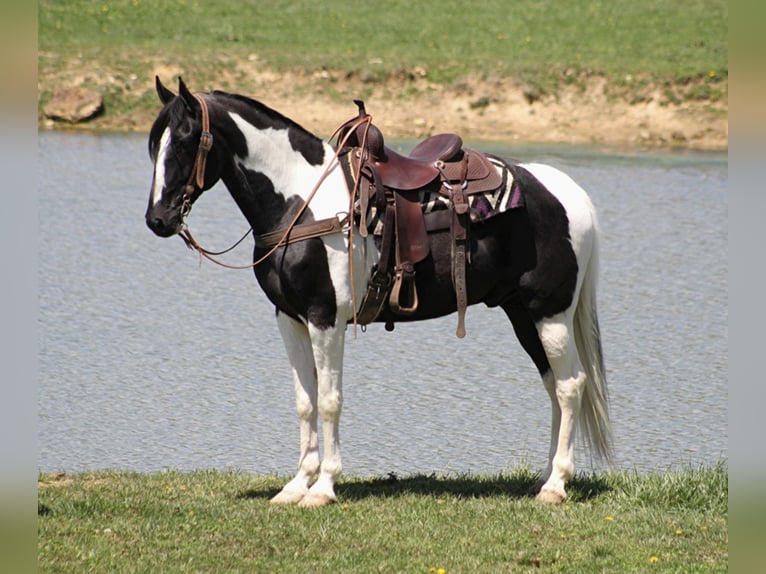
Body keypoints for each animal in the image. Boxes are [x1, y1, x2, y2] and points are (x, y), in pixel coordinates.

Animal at [144, 76, 612, 508]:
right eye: (154, 146)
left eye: (184, 142)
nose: (157, 220)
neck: (301, 203)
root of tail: (571, 194)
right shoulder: (290, 319)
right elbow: (304, 401)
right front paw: (295, 486)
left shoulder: (326, 319)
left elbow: (329, 401)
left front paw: (323, 488)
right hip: (523, 314)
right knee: (553, 386)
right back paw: (544, 479)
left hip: (550, 313)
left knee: (570, 386)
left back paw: (556, 486)